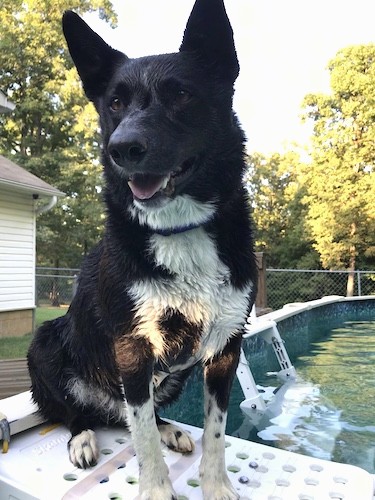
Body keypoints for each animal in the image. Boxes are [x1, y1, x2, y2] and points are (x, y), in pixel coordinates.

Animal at [27, 1, 258, 498]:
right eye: (114, 103)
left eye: (181, 94)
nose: (122, 149)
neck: (180, 229)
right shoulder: (133, 347)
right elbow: (144, 439)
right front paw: (155, 489)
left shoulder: (226, 347)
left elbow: (215, 430)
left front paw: (217, 485)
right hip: (46, 342)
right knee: (79, 412)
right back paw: (83, 437)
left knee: (141, 414)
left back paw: (171, 428)